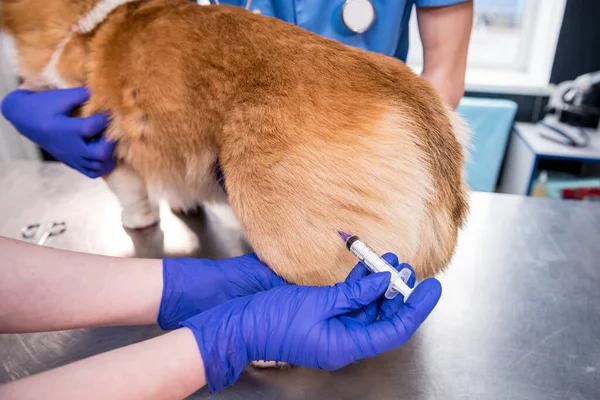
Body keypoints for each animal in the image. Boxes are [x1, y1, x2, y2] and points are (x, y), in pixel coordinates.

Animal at [0, 0, 468, 288]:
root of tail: (411, 106)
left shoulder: (105, 145)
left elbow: (132, 195)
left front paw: (138, 220)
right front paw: (183, 203)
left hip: (287, 227)